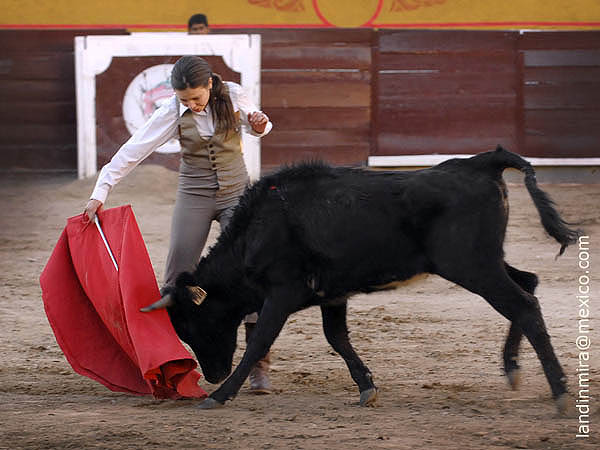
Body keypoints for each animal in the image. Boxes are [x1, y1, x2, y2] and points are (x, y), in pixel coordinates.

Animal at [142, 146, 579, 412]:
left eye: (194, 324)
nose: (212, 373)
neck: (259, 229)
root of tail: (480, 162)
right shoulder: (333, 295)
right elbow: (337, 337)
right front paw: (366, 386)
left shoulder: (282, 292)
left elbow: (259, 340)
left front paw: (220, 395)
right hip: (485, 262)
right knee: (529, 283)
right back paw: (512, 369)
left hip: (473, 267)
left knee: (523, 304)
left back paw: (558, 390)